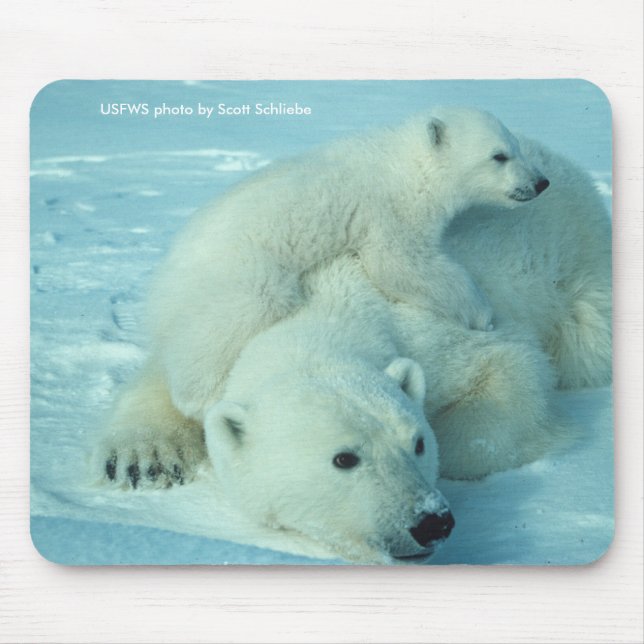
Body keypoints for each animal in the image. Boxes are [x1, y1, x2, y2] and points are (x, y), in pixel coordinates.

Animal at [146, 107, 550, 420]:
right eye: (499, 155)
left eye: (516, 146)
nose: (540, 182)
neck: (407, 164)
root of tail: (164, 281)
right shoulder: (391, 210)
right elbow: (400, 263)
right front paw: (483, 313)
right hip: (240, 270)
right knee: (232, 320)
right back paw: (201, 398)